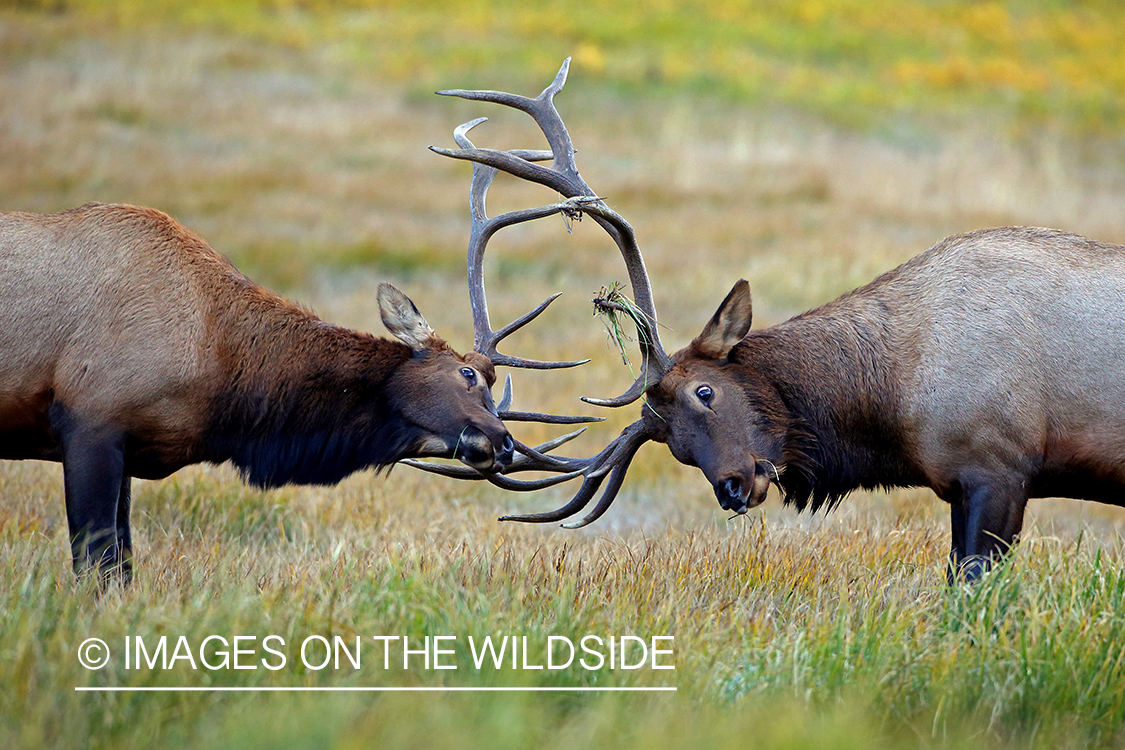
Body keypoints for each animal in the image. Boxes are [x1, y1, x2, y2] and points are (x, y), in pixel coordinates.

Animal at [2, 201, 589, 580]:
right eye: (469, 375)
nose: (504, 442)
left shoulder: (126, 443)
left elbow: (122, 568)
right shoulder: (90, 423)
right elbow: (97, 567)